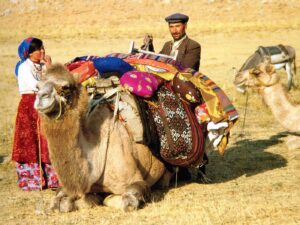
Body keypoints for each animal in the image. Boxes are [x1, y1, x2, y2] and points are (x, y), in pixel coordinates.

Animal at [33, 63, 171, 213]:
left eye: (66, 87)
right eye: (37, 87)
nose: (41, 97)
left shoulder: (136, 181)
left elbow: (122, 201)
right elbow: (59, 202)